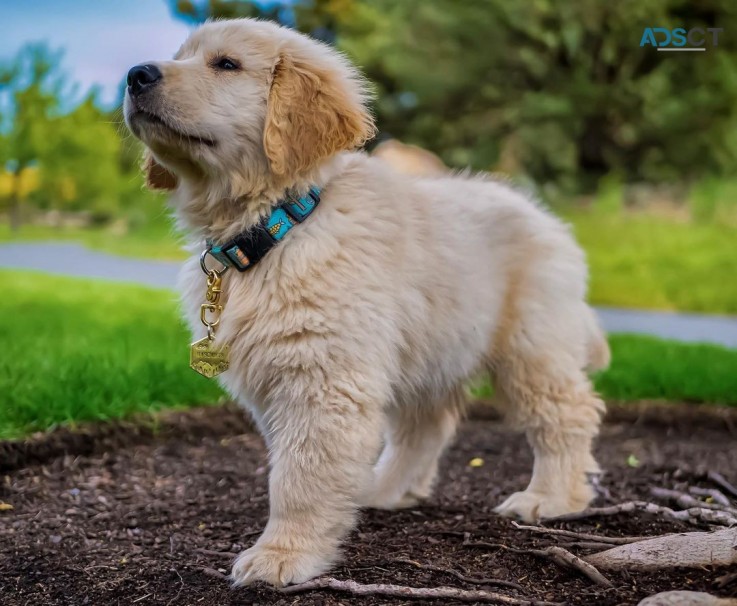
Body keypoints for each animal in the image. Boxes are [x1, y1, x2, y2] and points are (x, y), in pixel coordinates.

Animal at [125, 17, 608, 588]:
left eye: (226, 65)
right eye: (181, 56)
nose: (136, 75)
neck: (278, 226)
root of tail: (550, 221)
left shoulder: (323, 377)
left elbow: (299, 475)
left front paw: (282, 554)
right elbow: (287, 463)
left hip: (532, 345)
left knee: (566, 414)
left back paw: (552, 497)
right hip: (427, 348)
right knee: (426, 427)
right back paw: (386, 489)